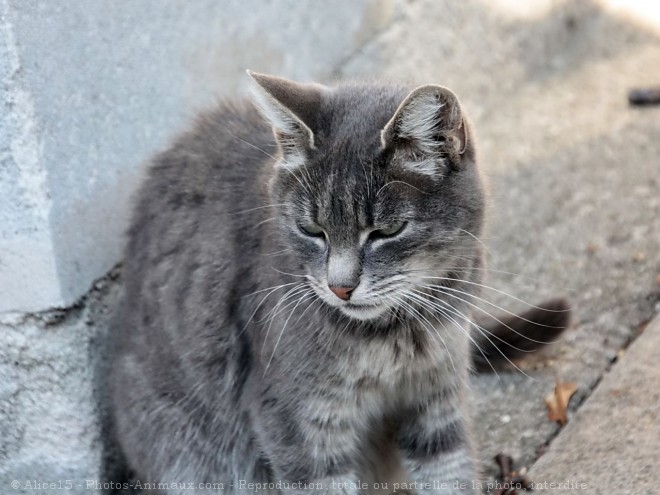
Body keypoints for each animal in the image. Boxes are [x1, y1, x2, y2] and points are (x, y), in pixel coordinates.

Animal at [111, 71, 568, 494]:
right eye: (311, 230)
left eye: (387, 231)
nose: (340, 287)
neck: (394, 335)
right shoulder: (295, 425)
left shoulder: (436, 402)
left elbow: (449, 475)